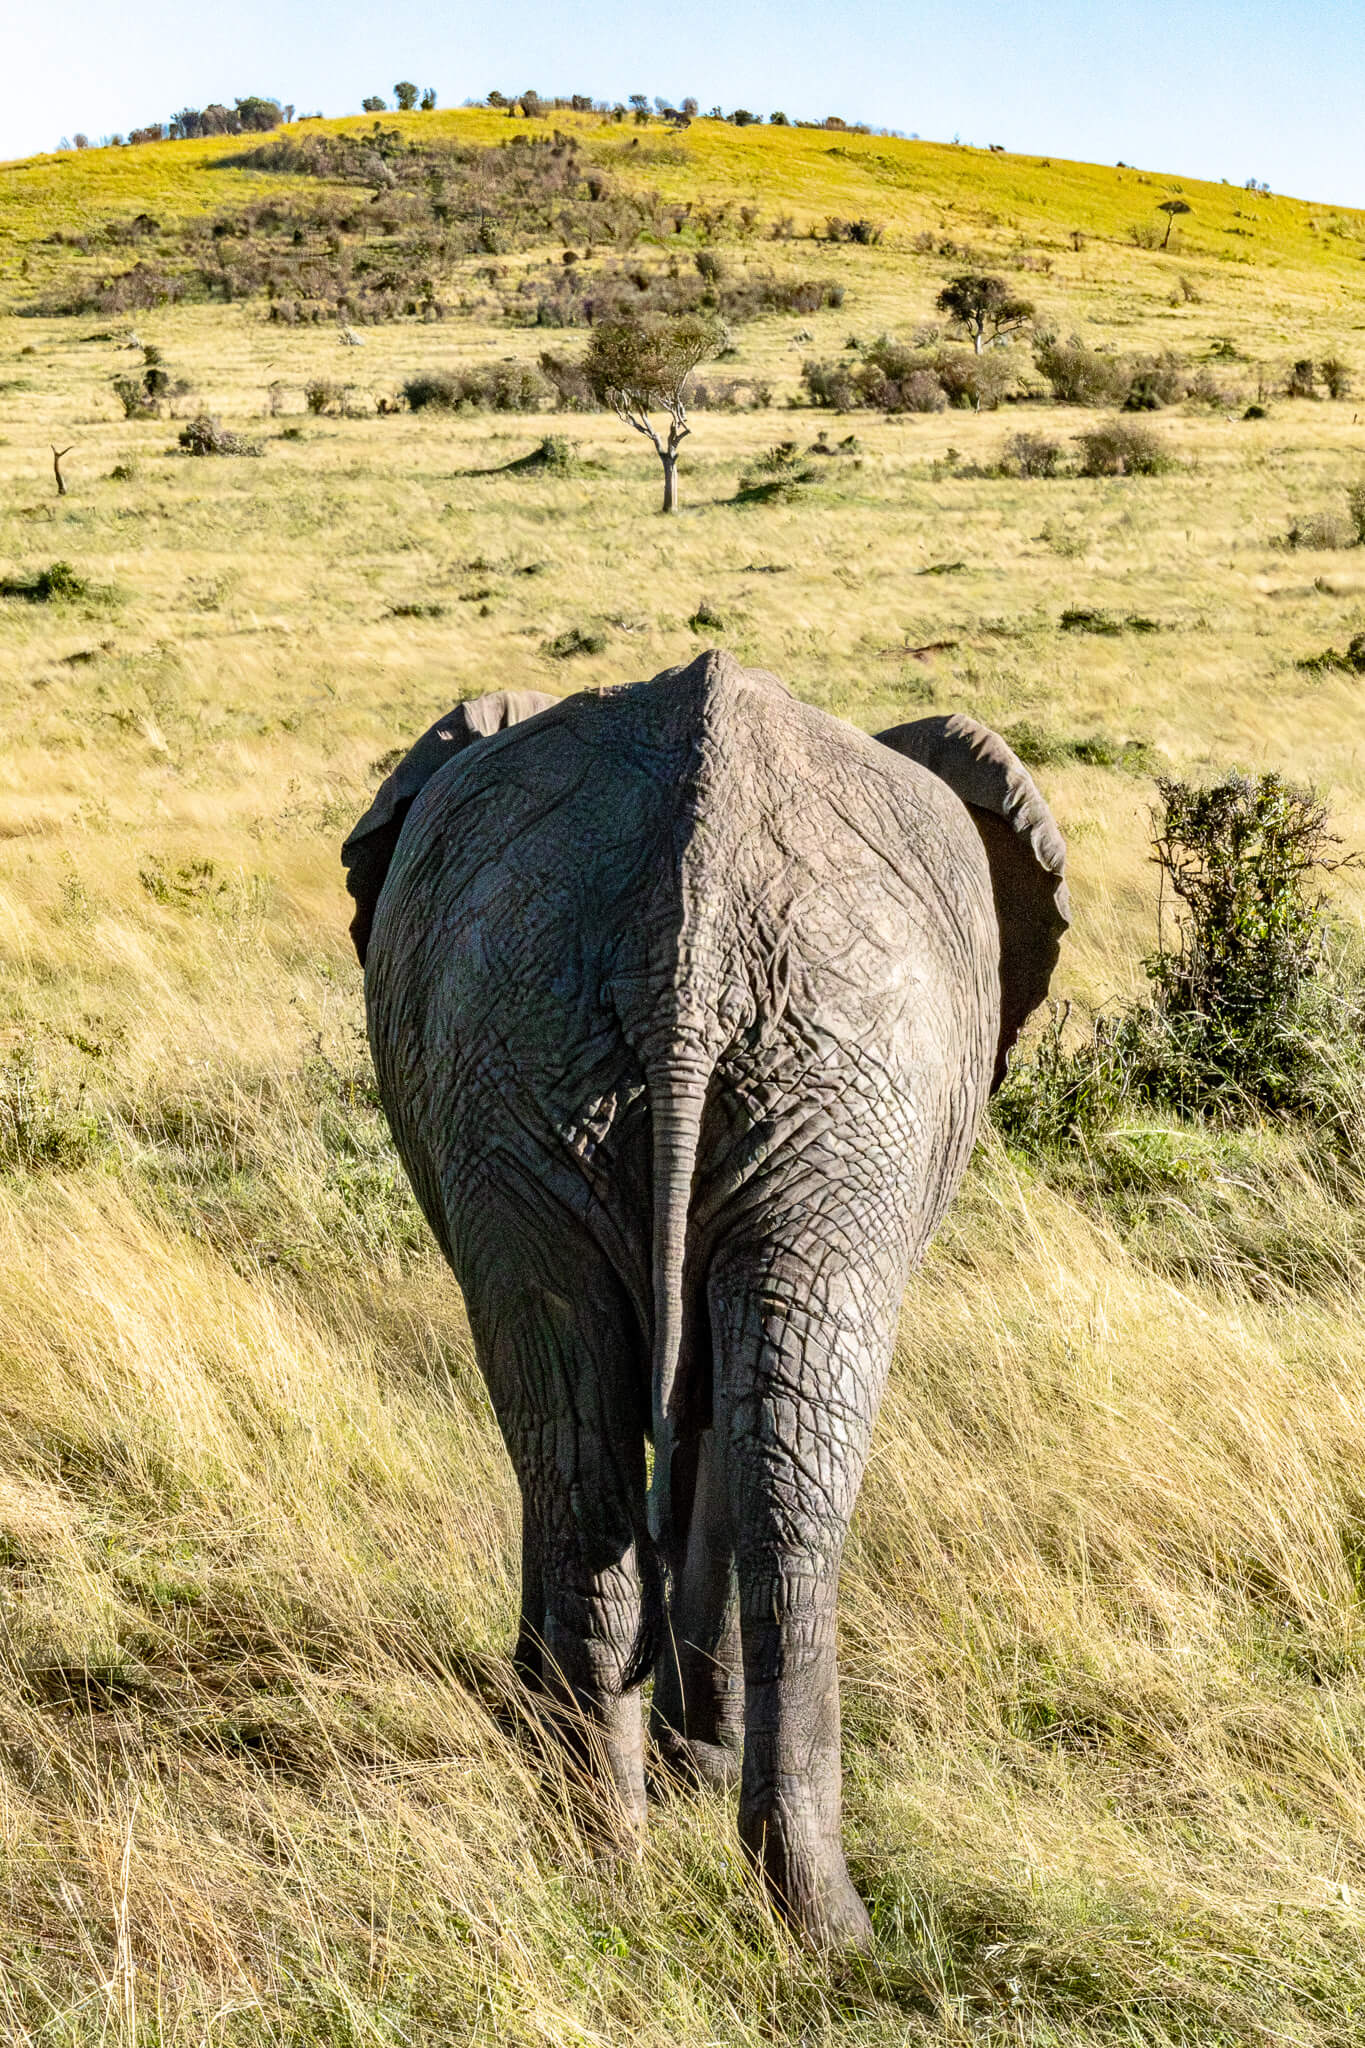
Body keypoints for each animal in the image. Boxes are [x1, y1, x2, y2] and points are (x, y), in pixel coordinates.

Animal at [343, 650, 1069, 1948]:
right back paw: (774, 1903)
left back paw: (634, 1875)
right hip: (735, 1075)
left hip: (616, 1067)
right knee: (739, 1464)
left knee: (615, 1462)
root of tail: (685, 940)